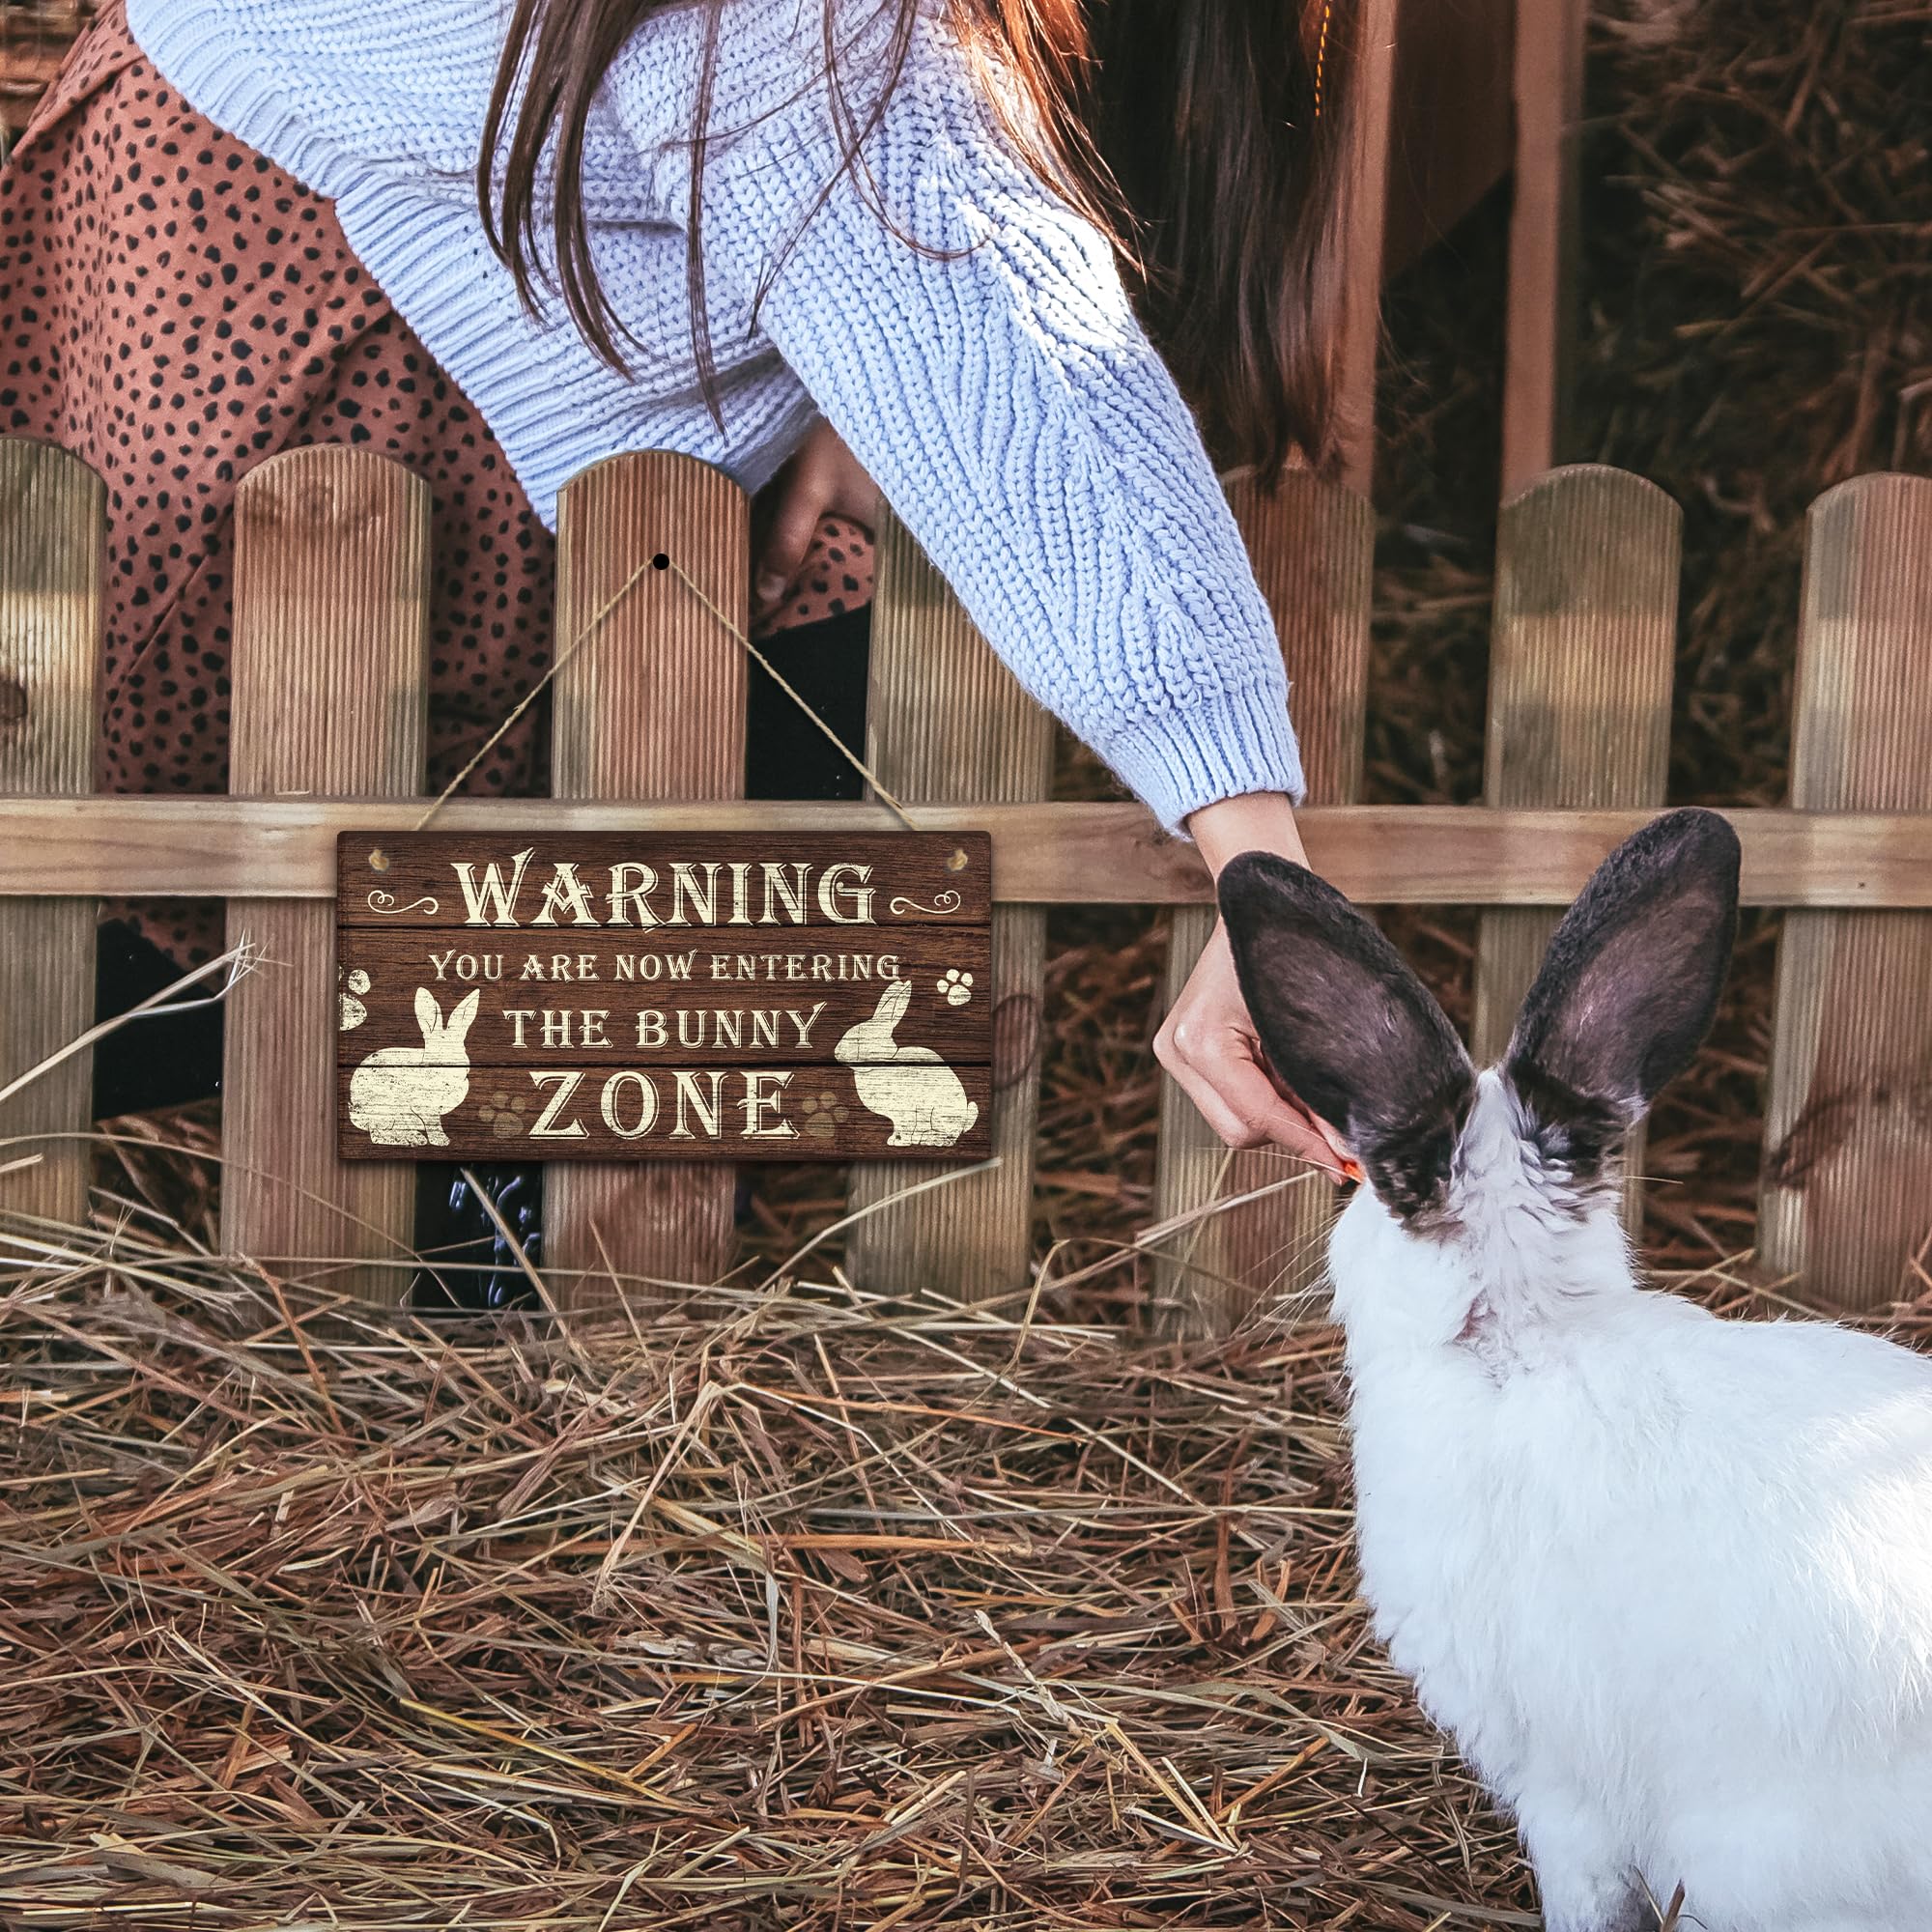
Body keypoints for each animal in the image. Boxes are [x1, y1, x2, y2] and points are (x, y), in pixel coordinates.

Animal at [348, 986, 481, 1147]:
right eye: (432, 1050)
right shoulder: (426, 1108)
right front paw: (442, 1141)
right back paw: (410, 1139)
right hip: (384, 1111)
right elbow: (434, 1124)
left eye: (462, 1049)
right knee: (377, 1134)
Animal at [834, 977, 980, 1147]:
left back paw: (929, 1139)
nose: (836, 1053)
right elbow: (899, 1128)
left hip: (940, 1114)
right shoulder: (897, 1116)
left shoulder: (911, 1109)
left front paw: (904, 1142)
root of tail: (964, 1123)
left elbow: (909, 1126)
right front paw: (893, 1140)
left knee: (948, 1137)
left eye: (859, 1039)